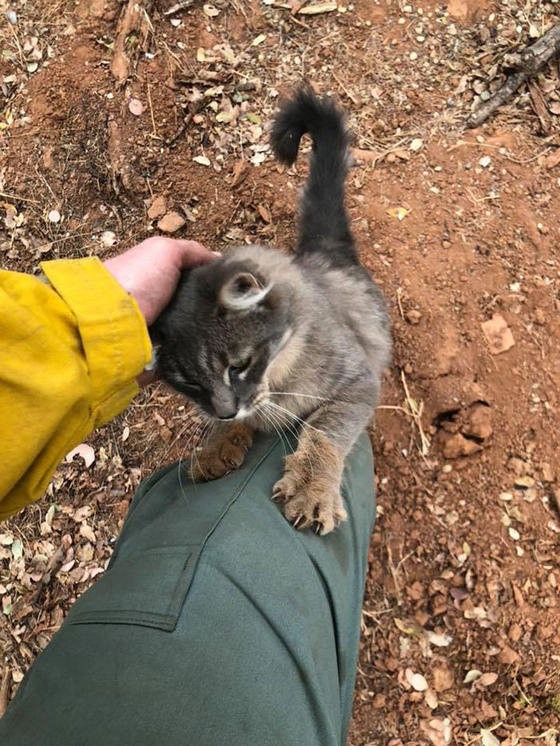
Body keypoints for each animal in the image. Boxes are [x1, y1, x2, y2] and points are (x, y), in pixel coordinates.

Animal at [151, 87, 392, 532]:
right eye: (189, 383)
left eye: (239, 365)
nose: (225, 411)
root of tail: (324, 250)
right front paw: (216, 447)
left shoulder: (358, 383)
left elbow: (324, 429)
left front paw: (312, 488)